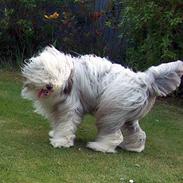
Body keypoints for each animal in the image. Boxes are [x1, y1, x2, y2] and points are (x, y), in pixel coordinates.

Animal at [21, 46, 183, 153]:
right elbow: (59, 124)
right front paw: (55, 134)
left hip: (111, 111)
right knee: (138, 133)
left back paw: (99, 146)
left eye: (57, 75)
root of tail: (145, 79)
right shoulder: (57, 109)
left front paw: (61, 142)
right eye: (45, 73)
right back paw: (134, 147)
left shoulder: (70, 108)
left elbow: (66, 125)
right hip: (128, 116)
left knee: (114, 135)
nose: (49, 86)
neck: (68, 80)